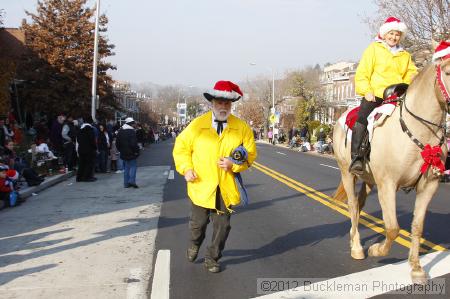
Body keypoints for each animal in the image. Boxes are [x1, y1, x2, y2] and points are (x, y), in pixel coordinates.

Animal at [332, 59, 448, 286]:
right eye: (447, 72)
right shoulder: (388, 184)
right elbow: (393, 228)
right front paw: (376, 250)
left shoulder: (429, 186)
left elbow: (417, 226)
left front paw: (416, 269)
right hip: (347, 172)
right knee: (352, 205)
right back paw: (357, 247)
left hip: (369, 179)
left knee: (359, 205)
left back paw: (352, 237)